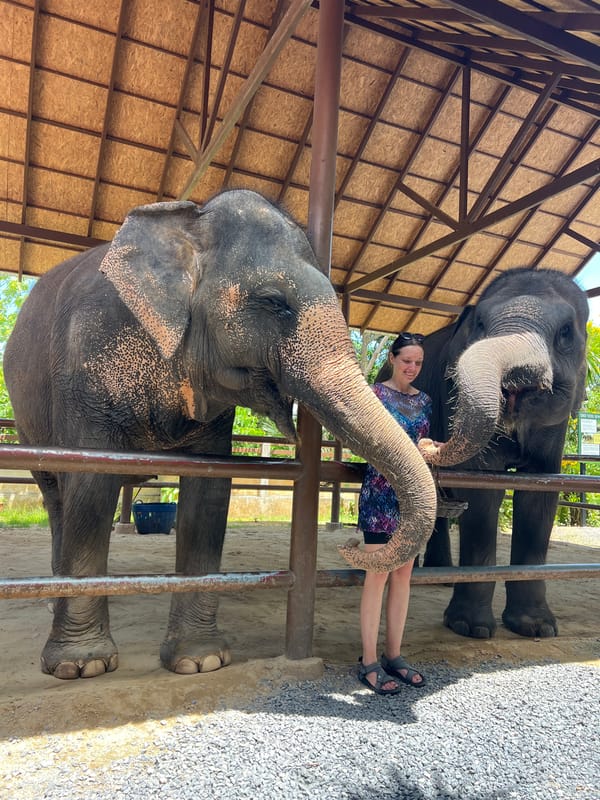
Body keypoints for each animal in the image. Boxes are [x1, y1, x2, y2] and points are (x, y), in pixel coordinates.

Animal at [4, 189, 437, 679]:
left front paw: (200, 661)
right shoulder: (87, 364)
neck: (190, 224)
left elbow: (209, 493)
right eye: (273, 302)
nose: (350, 541)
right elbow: (92, 485)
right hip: (29, 419)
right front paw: (83, 667)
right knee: (57, 496)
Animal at [412, 267, 588, 639]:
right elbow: (482, 490)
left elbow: (539, 495)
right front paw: (469, 628)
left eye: (566, 332)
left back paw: (440, 577)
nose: (430, 443)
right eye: (480, 322)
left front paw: (536, 628)